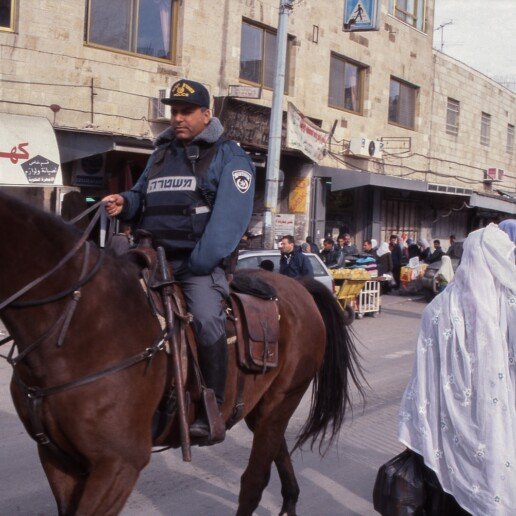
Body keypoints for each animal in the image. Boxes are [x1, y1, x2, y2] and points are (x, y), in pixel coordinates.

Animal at [0, 192, 362, 516]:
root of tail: (300, 287)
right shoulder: (57, 458)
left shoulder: (119, 463)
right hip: (261, 408)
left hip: (282, 400)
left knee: (254, 480)